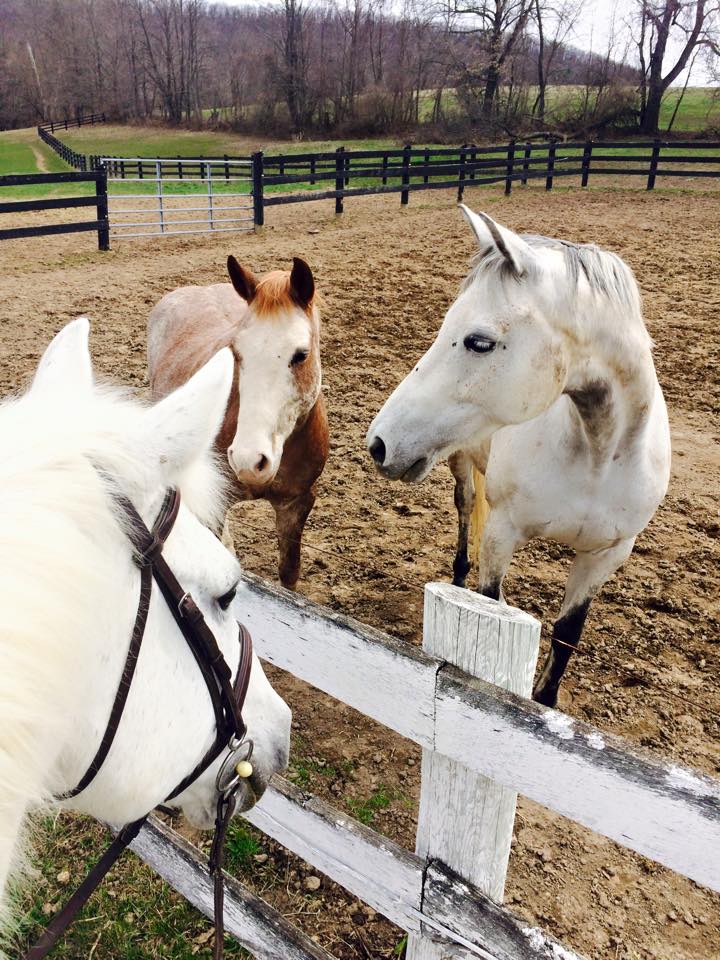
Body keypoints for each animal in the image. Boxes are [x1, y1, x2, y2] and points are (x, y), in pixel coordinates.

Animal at [149, 256, 330, 584]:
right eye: (236, 352)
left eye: (301, 354)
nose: (249, 460)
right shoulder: (217, 503)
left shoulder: (296, 504)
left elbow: (289, 572)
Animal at [368, 206, 672, 708]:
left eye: (479, 342)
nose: (379, 443)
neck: (596, 458)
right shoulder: (502, 533)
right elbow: (489, 600)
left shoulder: (605, 556)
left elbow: (567, 636)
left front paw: (545, 703)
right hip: (458, 463)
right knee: (465, 509)